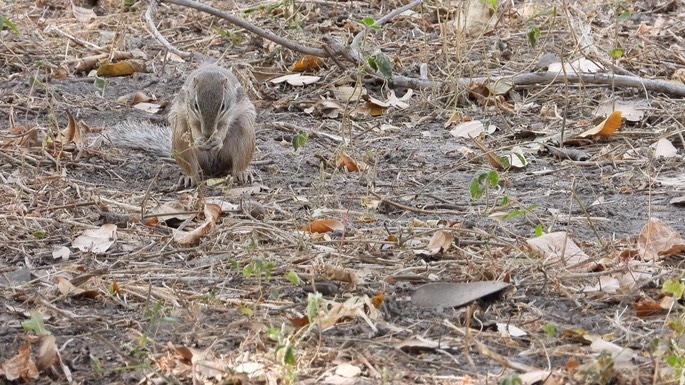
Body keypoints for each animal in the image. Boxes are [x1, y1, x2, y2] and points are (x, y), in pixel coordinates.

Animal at [107, 63, 256, 186]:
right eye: (196, 105)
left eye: (223, 106)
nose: (207, 134)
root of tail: (212, 165)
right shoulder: (189, 113)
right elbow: (194, 126)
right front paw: (199, 141)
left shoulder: (229, 114)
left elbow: (224, 128)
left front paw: (217, 141)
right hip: (180, 136)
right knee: (191, 167)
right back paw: (189, 177)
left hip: (246, 132)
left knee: (238, 163)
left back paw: (242, 173)